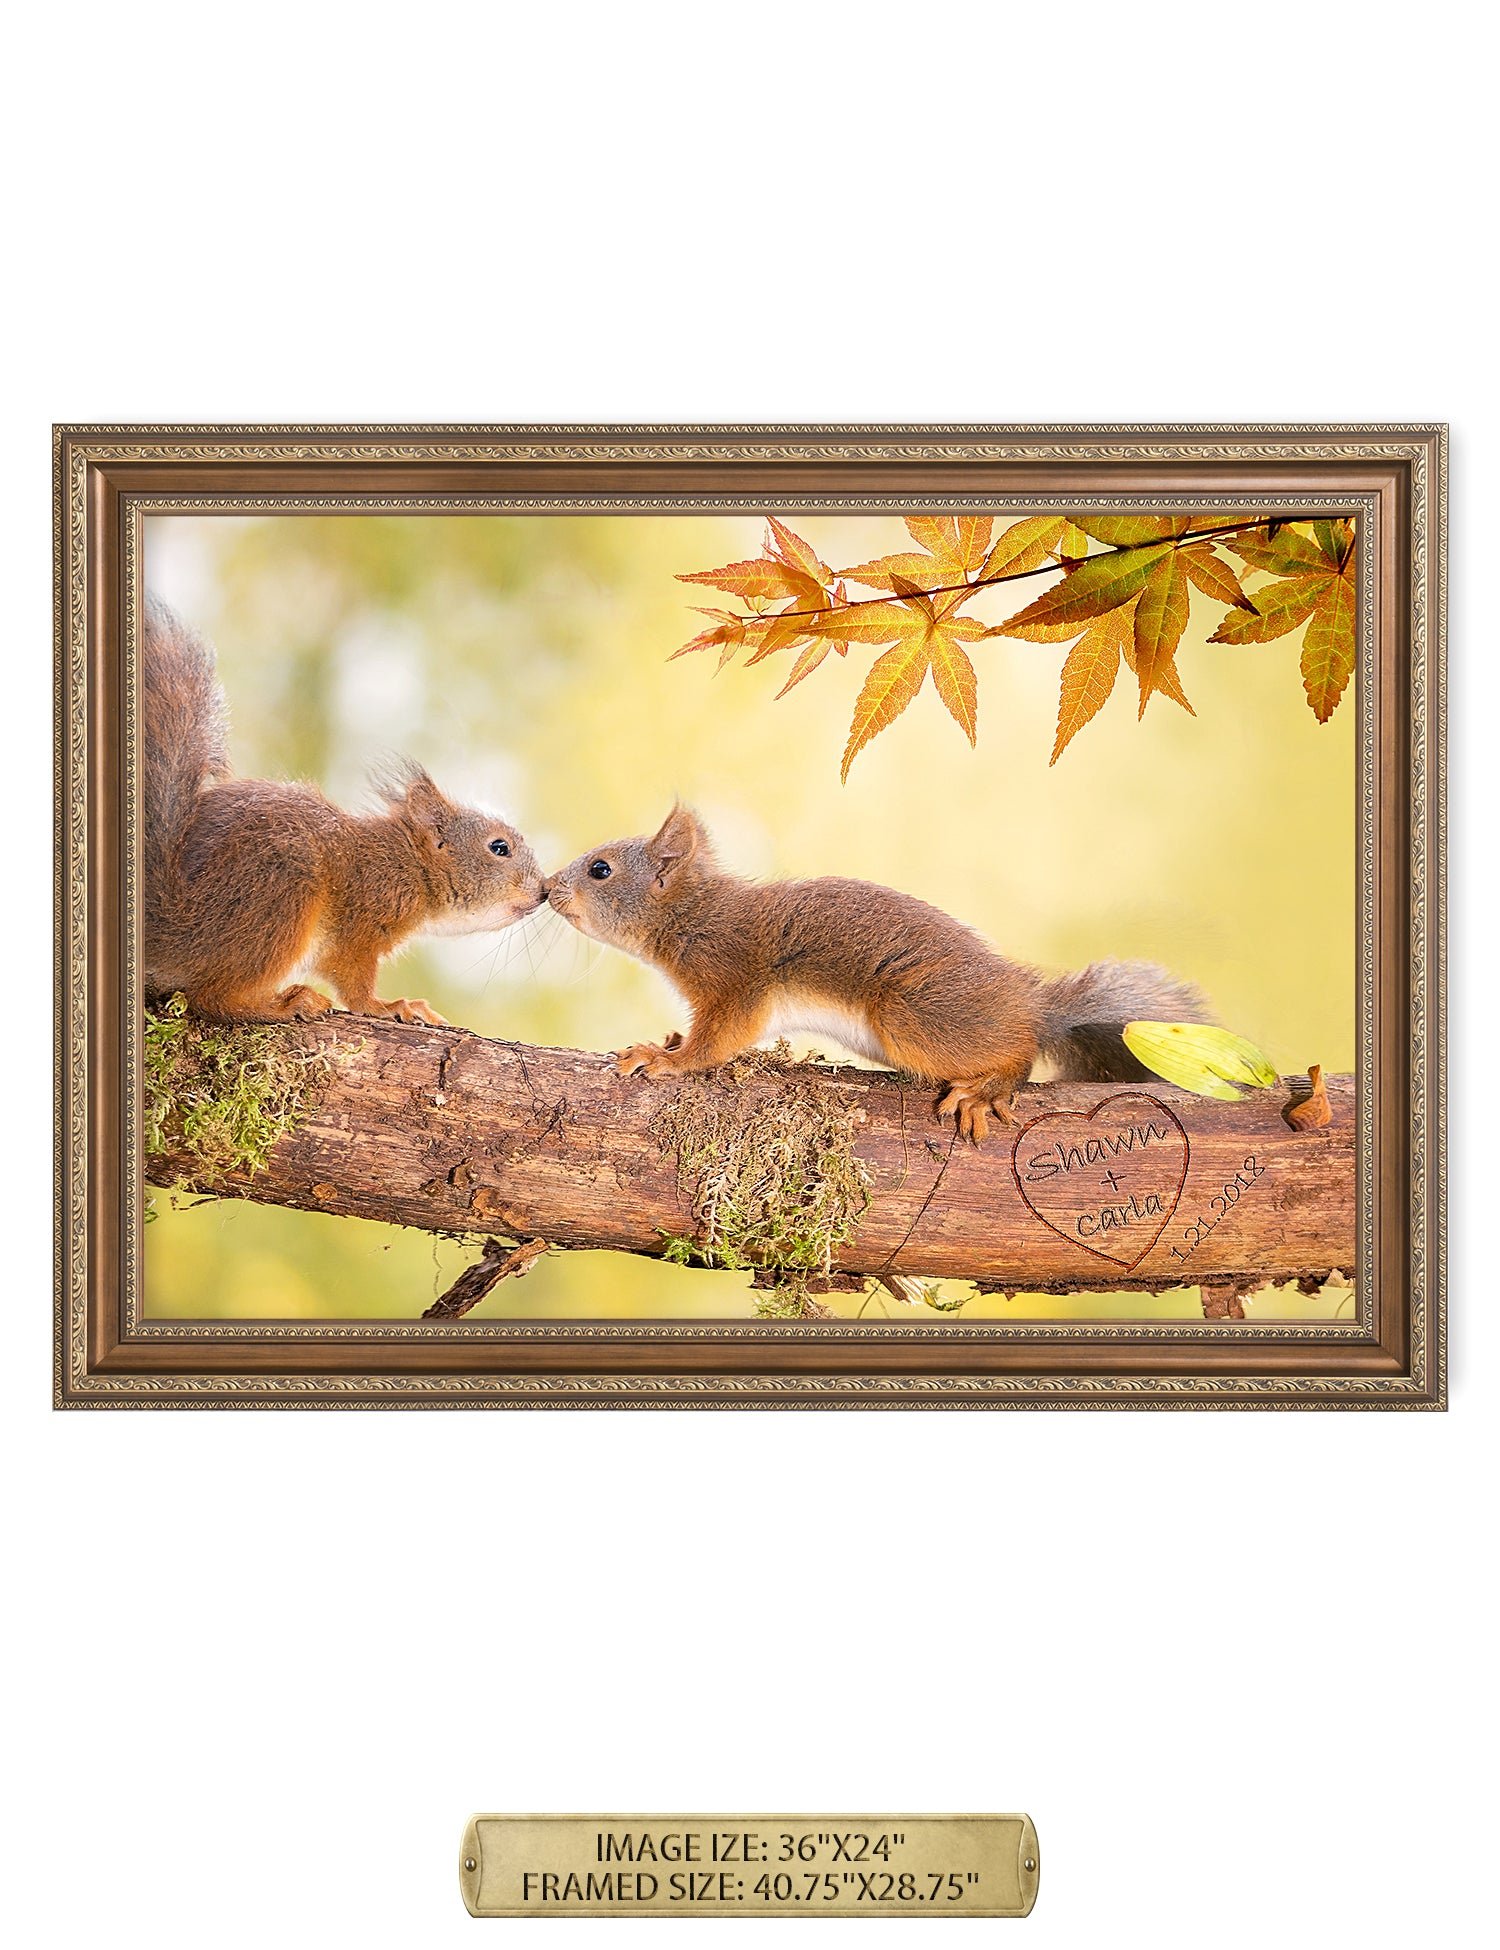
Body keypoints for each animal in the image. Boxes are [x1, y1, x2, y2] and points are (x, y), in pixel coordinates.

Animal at [143, 593, 545, 1024]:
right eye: (499, 847)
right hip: (280, 898)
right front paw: (388, 1006)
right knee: (211, 996)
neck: (409, 864)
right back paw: (287, 1003)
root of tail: (173, 922)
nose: (542, 891)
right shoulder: (361, 923)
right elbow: (352, 978)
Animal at [546, 805, 1212, 1143]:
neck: (691, 914)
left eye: (600, 869)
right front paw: (670, 1039)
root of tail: (1031, 1005)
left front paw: (667, 1060)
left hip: (913, 1016)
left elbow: (720, 1040)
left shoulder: (735, 977)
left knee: (1018, 1053)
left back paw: (989, 1087)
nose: (549, 888)